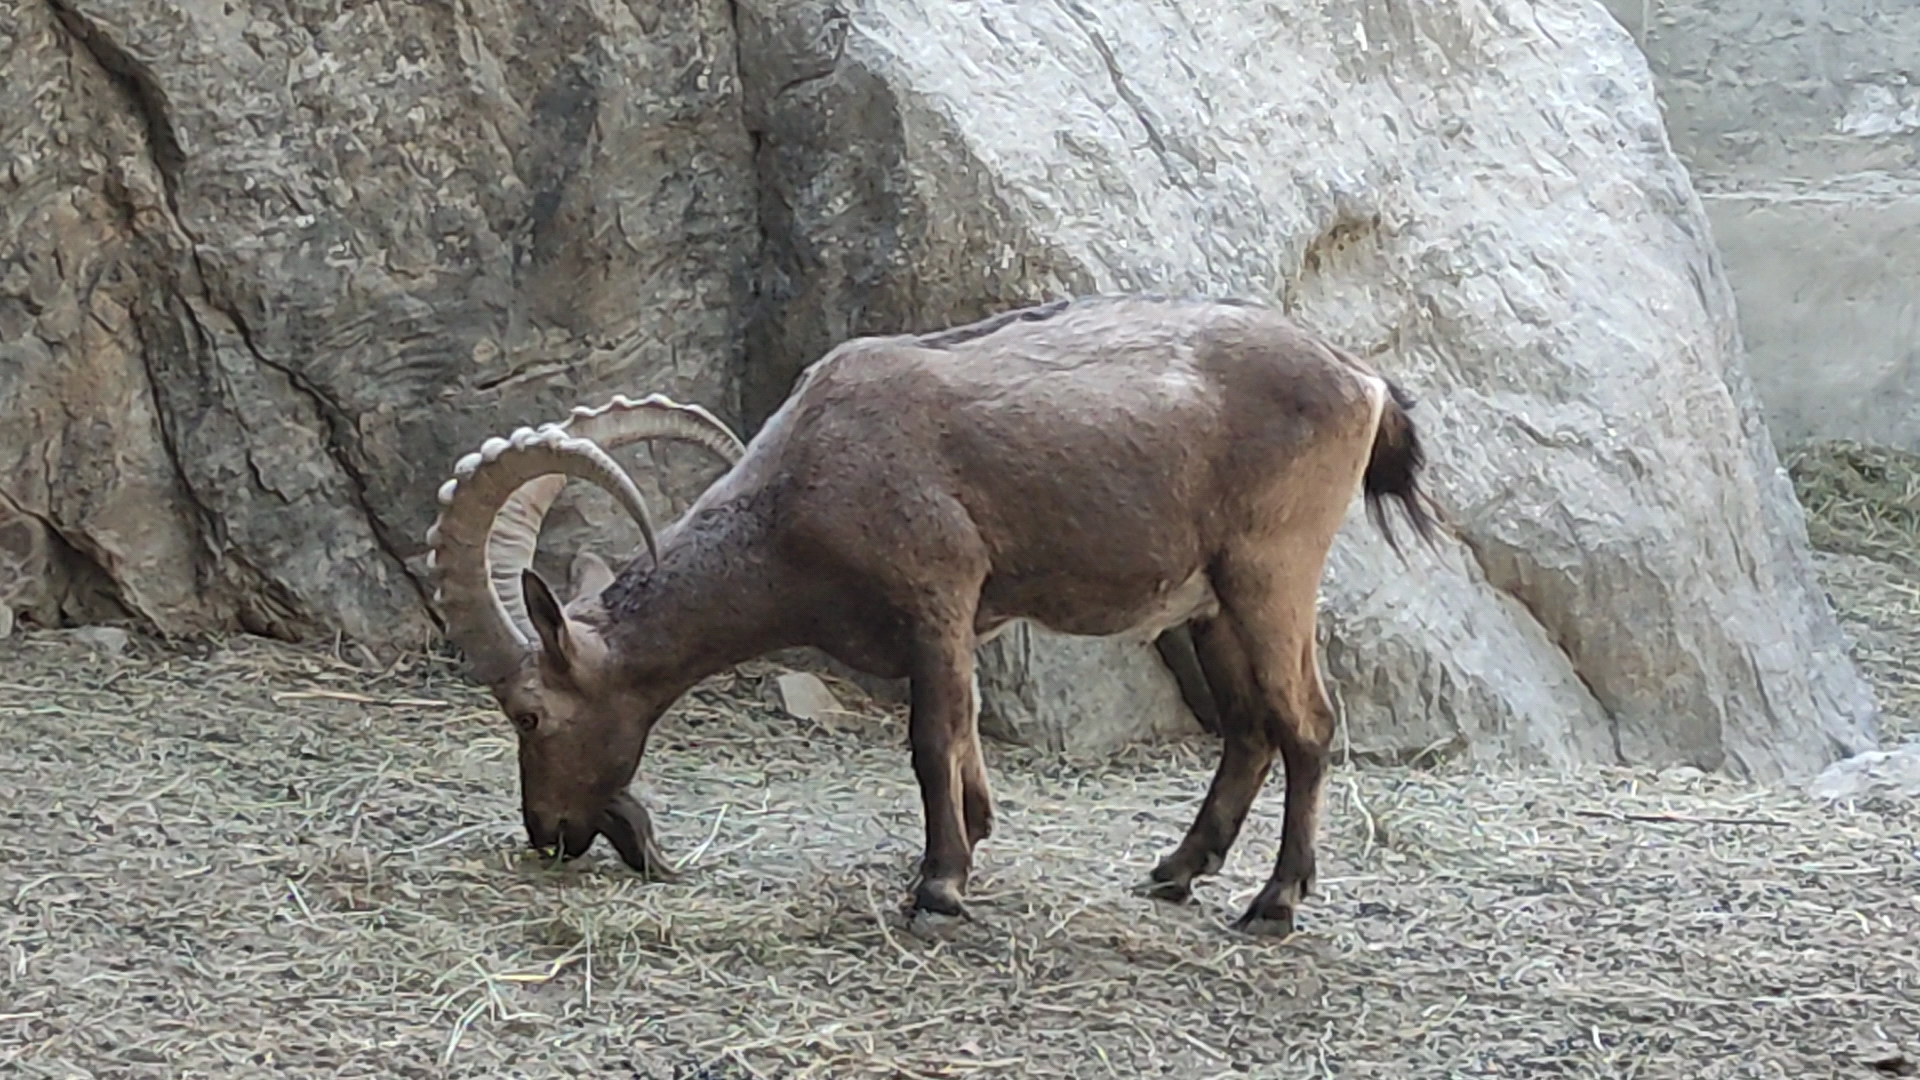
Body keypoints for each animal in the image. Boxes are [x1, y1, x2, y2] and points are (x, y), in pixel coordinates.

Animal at [428, 290, 1436, 930]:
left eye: (527, 713)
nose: (549, 834)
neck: (796, 494)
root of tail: (1363, 383)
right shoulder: (969, 621)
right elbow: (969, 727)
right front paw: (977, 837)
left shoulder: (937, 595)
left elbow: (929, 736)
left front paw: (939, 886)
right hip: (1209, 600)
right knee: (1248, 727)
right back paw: (1177, 872)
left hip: (1272, 570)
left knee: (1307, 721)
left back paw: (1275, 903)